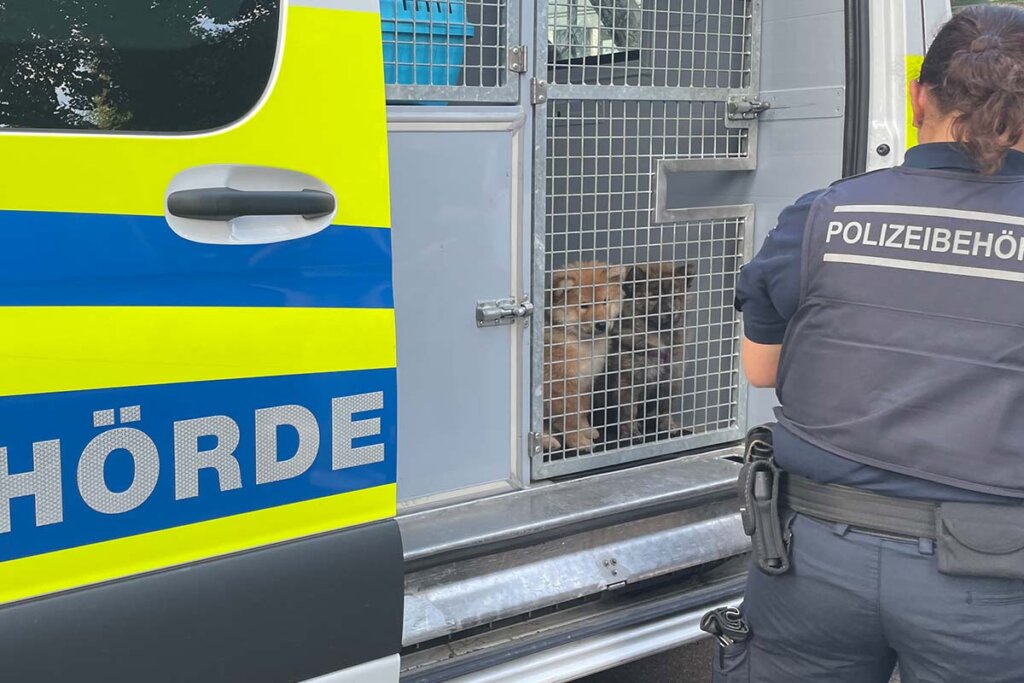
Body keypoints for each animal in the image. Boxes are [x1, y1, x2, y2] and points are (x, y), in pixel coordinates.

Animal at [540, 262, 626, 454]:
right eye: (584, 306)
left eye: (605, 301)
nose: (601, 324)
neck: (582, 342)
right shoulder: (561, 388)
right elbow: (570, 420)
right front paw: (579, 442)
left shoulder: (585, 382)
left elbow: (583, 410)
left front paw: (586, 430)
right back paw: (547, 441)